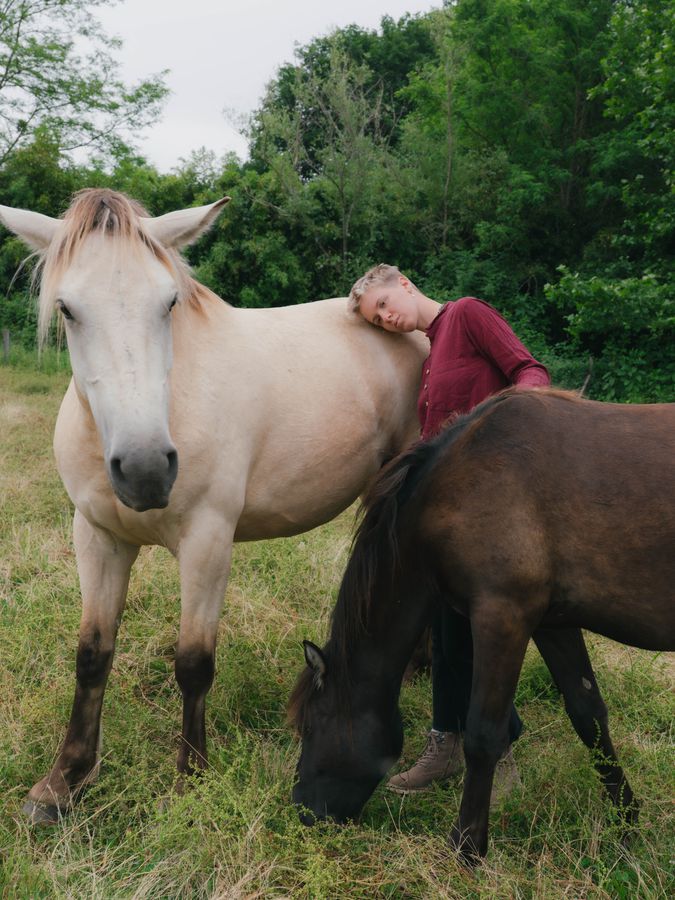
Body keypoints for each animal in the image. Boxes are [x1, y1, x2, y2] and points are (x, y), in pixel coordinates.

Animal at [0, 189, 428, 824]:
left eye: (168, 303)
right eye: (69, 309)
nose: (146, 468)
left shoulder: (207, 543)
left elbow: (193, 663)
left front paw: (191, 778)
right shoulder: (97, 537)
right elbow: (92, 654)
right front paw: (62, 782)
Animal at [289, 388, 675, 863]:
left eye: (310, 727)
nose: (304, 811)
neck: (462, 482)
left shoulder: (502, 617)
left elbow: (482, 734)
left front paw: (467, 846)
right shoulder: (552, 623)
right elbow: (588, 715)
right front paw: (626, 822)